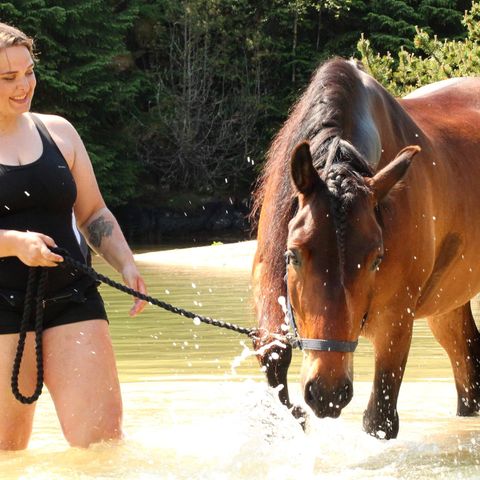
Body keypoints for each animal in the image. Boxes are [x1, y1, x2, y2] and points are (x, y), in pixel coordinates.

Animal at [251, 56, 480, 438]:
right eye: (293, 255)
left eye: (376, 259)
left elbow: (379, 420)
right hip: (447, 306)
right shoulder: (267, 284)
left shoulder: (396, 321)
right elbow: (274, 362)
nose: (327, 392)